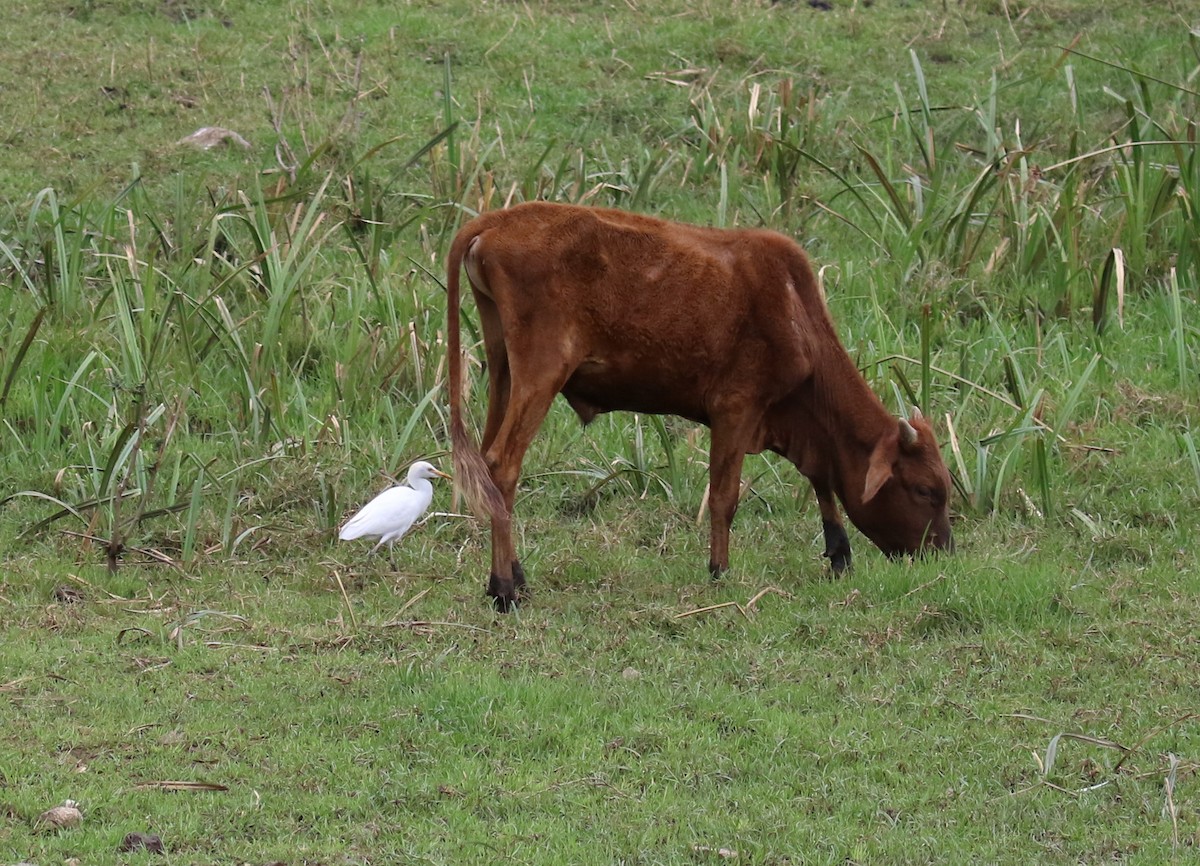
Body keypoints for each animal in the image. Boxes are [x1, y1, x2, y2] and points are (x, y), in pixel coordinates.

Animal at [446, 201, 950, 606]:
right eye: (926, 489)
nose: (943, 554)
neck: (794, 309)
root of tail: (498, 219)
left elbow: (820, 476)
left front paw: (839, 551)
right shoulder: (736, 409)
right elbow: (725, 497)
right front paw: (719, 571)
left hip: (503, 369)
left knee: (487, 466)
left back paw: (510, 576)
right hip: (542, 372)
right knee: (502, 464)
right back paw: (505, 590)